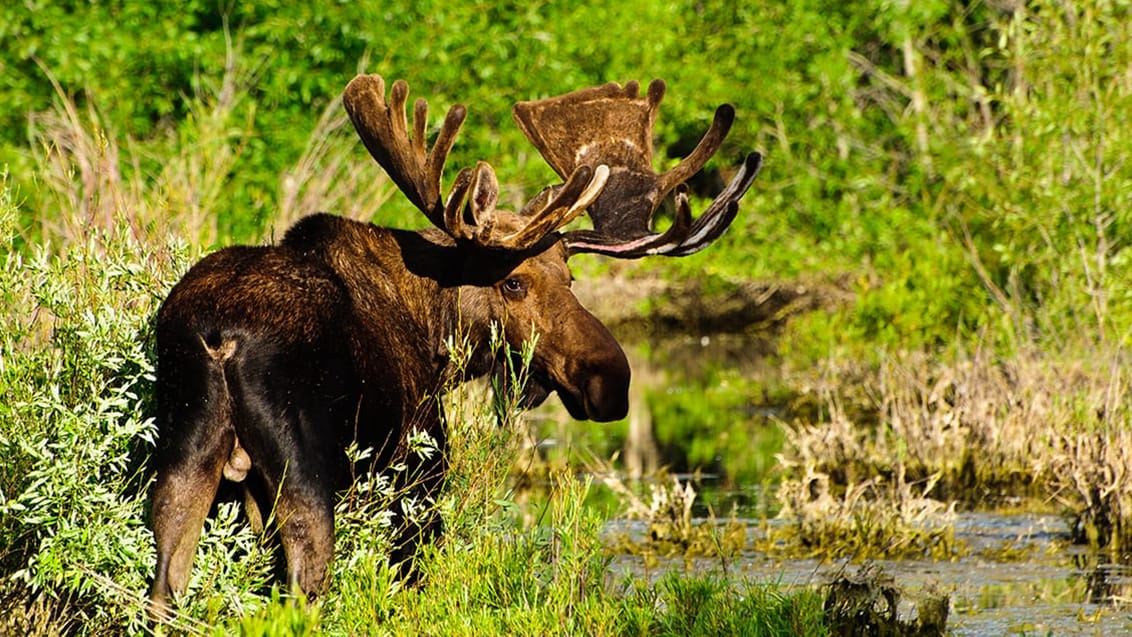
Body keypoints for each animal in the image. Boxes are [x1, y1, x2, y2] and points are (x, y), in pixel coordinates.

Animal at [146, 72, 756, 615]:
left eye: (570, 278)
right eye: (514, 282)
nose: (612, 378)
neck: (435, 329)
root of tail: (220, 338)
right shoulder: (419, 471)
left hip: (183, 458)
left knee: (165, 586)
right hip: (306, 473)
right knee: (303, 589)